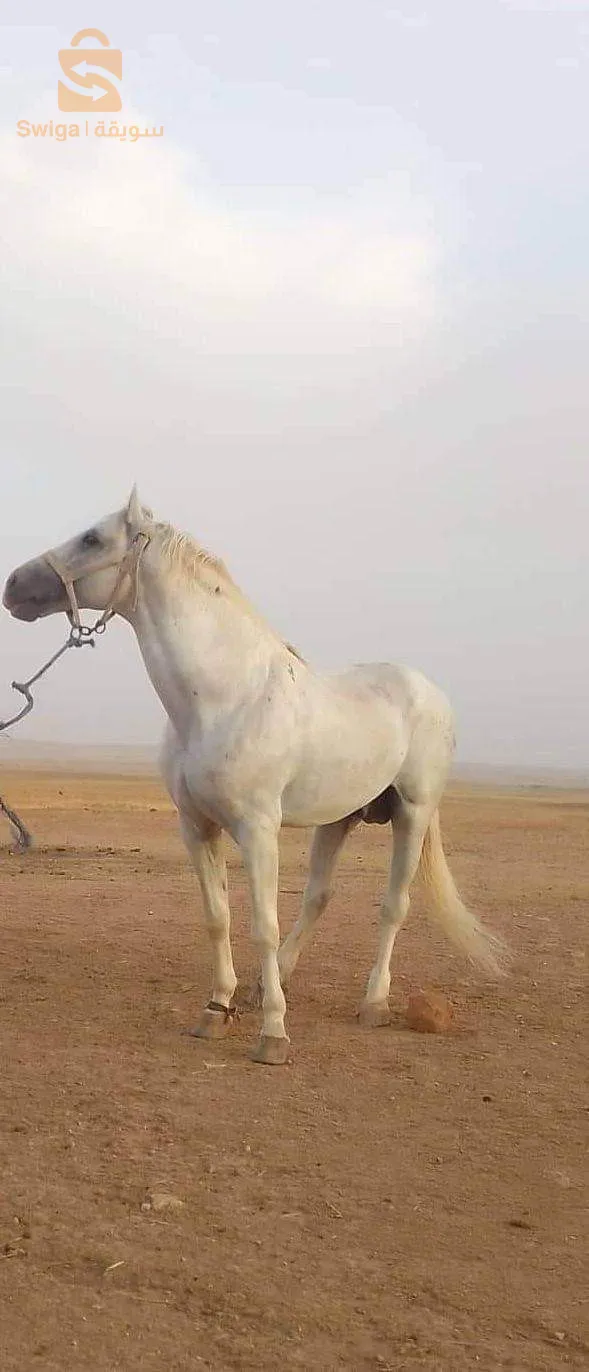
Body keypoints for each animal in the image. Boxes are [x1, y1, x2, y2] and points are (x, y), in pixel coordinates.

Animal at [3, 487, 505, 1064]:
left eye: (92, 538)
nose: (13, 586)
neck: (225, 698)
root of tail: (430, 692)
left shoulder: (259, 830)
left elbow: (263, 924)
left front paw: (273, 1034)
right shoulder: (197, 827)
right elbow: (217, 917)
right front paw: (217, 1010)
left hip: (412, 813)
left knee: (393, 906)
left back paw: (372, 1003)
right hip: (338, 819)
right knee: (318, 897)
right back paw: (271, 982)